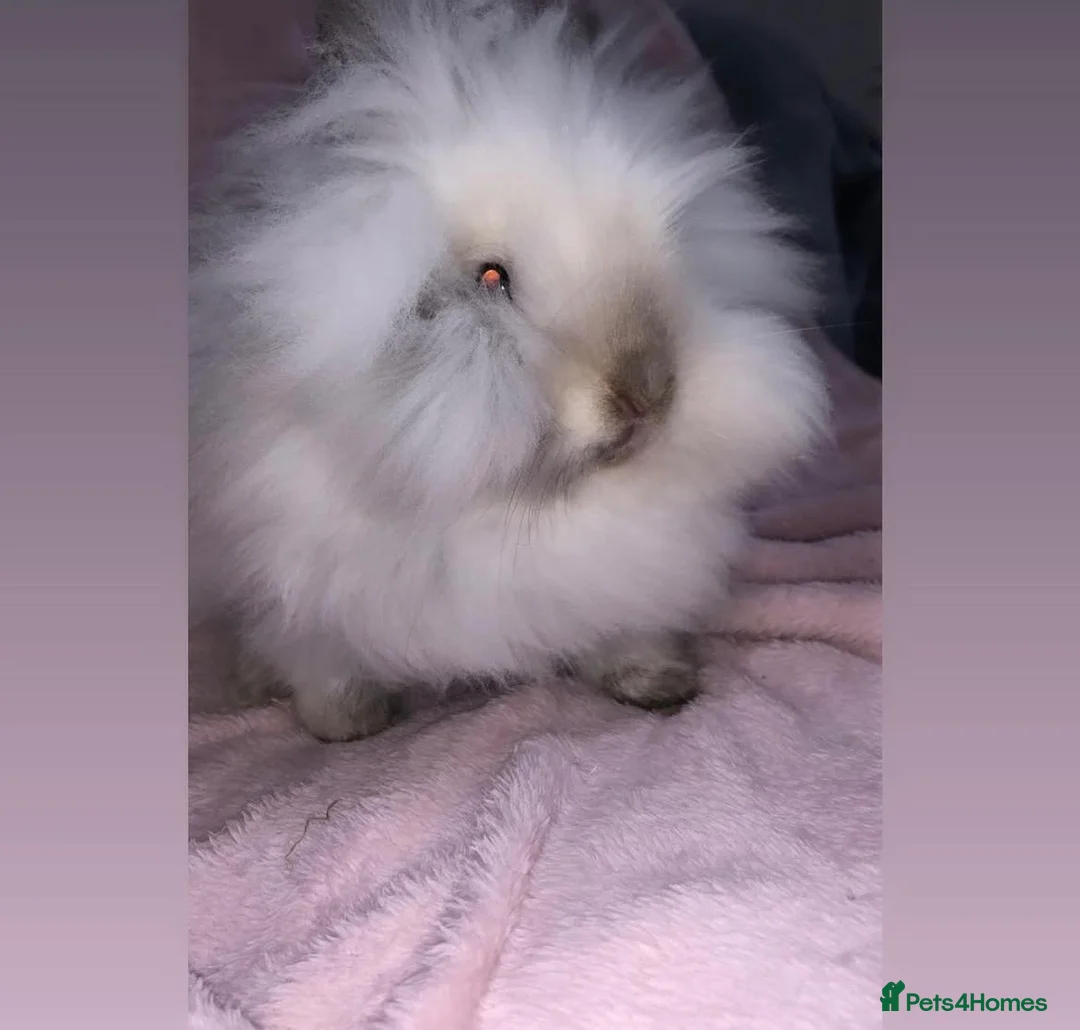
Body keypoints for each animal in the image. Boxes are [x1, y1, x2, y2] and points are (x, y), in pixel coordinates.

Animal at [188, 0, 829, 741]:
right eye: (492, 279)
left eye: (667, 245)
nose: (649, 391)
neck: (518, 512)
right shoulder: (297, 584)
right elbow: (324, 662)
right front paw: (348, 726)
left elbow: (628, 633)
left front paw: (657, 685)